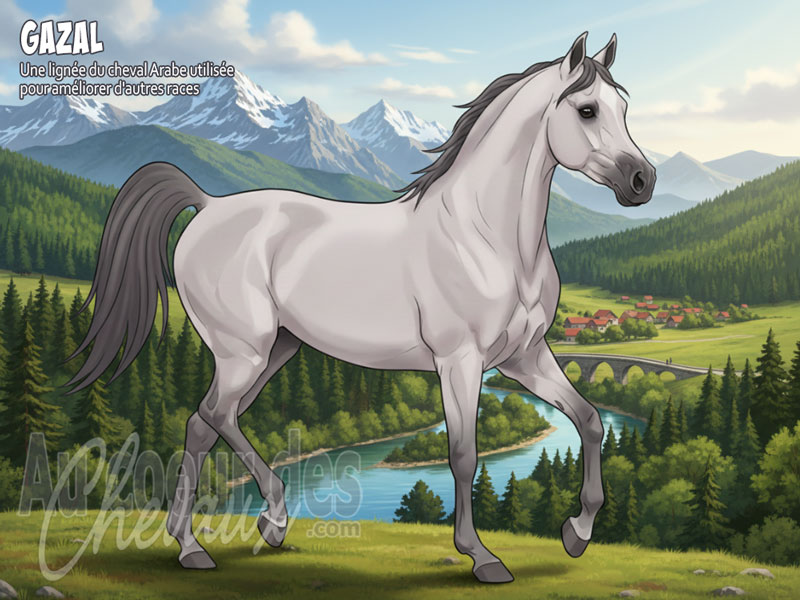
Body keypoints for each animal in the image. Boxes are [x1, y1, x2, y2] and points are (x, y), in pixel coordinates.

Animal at [68, 32, 655, 583]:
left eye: (624, 107)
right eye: (587, 109)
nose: (642, 181)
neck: (488, 239)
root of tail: (207, 205)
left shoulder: (524, 357)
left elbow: (590, 421)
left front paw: (577, 533)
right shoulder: (459, 362)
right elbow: (463, 455)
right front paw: (483, 557)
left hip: (276, 350)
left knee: (205, 422)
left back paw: (217, 538)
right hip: (243, 352)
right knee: (213, 416)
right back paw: (241, 529)